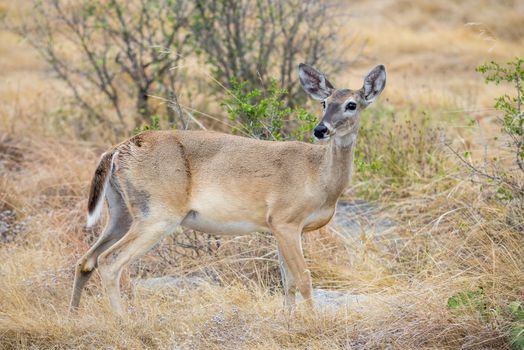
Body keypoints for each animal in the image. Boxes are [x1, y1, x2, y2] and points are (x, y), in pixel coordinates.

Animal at [69, 63, 384, 318]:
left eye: (352, 104)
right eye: (324, 103)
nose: (321, 129)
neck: (318, 175)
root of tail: (116, 150)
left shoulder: (282, 228)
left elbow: (288, 282)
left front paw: (289, 319)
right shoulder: (285, 220)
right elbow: (304, 278)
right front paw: (313, 322)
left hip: (122, 212)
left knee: (86, 260)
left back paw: (74, 316)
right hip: (157, 214)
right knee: (110, 261)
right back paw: (124, 321)